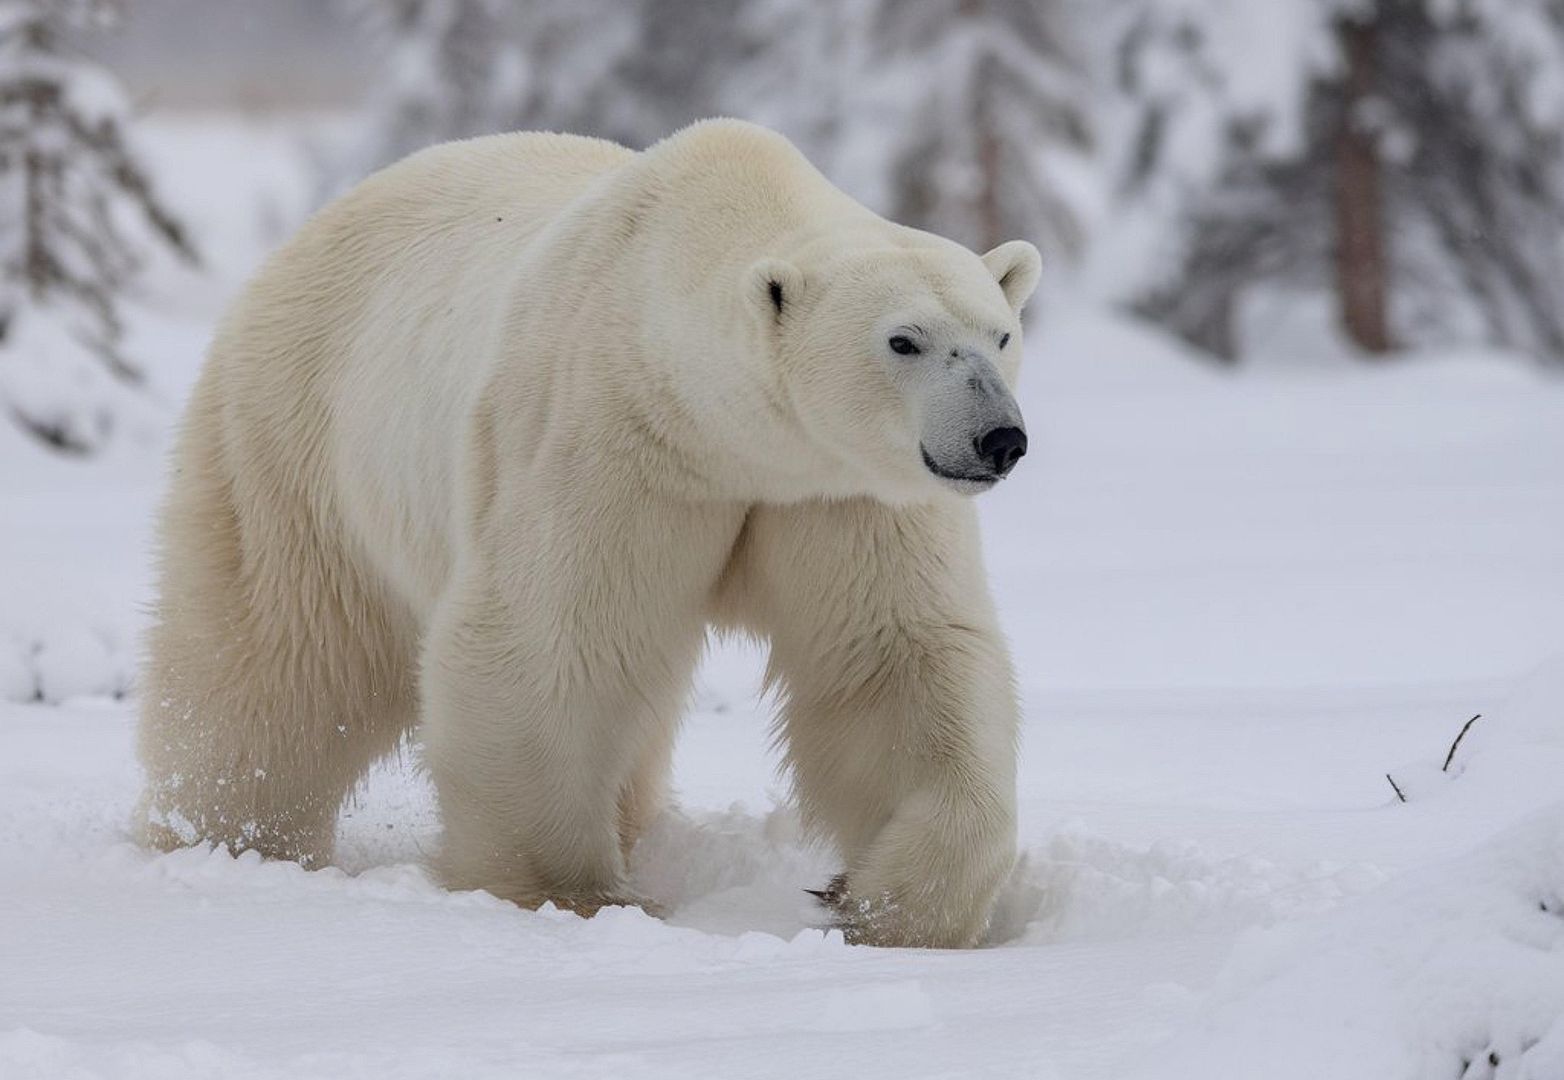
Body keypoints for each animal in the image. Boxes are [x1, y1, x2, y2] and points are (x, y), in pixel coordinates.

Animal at [134, 116, 1038, 944]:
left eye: (1001, 332)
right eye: (904, 340)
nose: (999, 438)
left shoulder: (836, 492)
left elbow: (893, 662)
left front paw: (885, 904)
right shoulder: (604, 435)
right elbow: (548, 645)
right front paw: (571, 895)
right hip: (298, 440)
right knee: (276, 658)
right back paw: (228, 837)